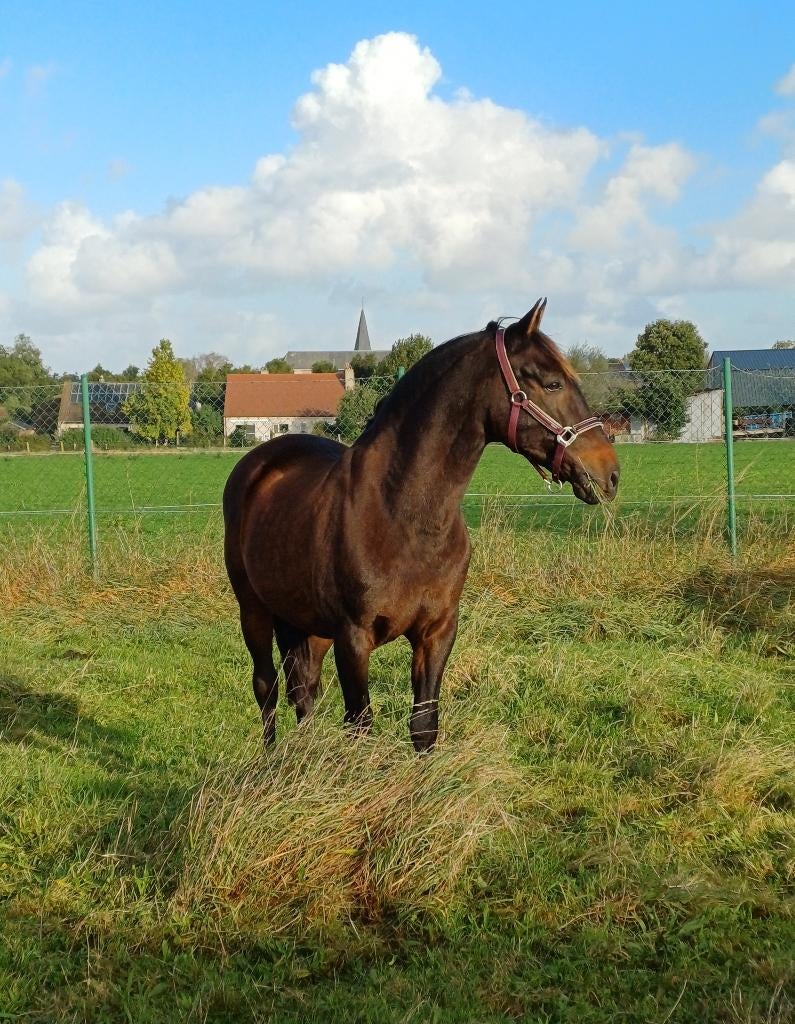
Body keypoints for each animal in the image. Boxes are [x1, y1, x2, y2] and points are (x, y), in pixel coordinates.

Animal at [223, 299, 620, 751]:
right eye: (552, 384)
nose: (609, 473)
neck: (405, 516)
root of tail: (260, 461)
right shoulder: (353, 638)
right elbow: (360, 725)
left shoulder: (437, 631)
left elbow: (424, 725)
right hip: (254, 611)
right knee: (267, 686)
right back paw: (272, 760)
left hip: (307, 623)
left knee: (303, 687)